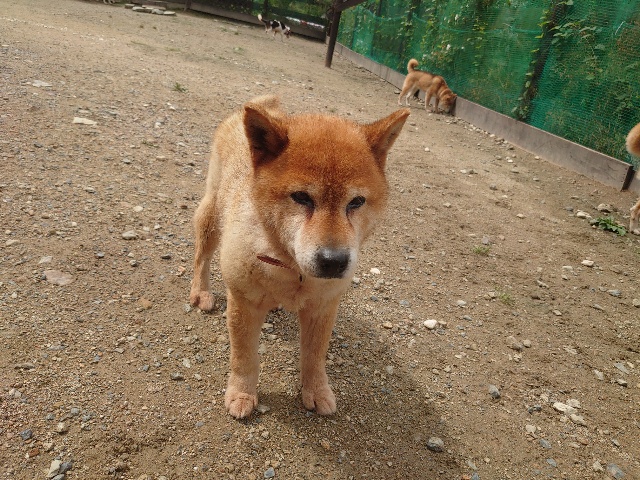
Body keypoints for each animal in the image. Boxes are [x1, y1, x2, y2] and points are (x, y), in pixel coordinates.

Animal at [190, 95, 409, 418]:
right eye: (302, 197)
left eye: (356, 202)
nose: (334, 261)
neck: (291, 268)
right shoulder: (243, 303)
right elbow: (244, 358)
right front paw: (242, 393)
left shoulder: (323, 307)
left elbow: (315, 356)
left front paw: (316, 391)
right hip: (212, 217)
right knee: (201, 257)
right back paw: (200, 291)